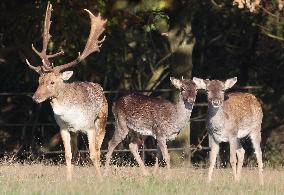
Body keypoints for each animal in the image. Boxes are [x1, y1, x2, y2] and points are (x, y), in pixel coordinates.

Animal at [25, 2, 107, 180]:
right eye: (39, 81)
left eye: (52, 82)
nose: (35, 98)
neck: (70, 115)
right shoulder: (63, 127)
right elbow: (68, 155)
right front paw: (69, 180)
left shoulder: (89, 126)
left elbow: (93, 154)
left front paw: (100, 180)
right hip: (76, 132)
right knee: (75, 153)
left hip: (102, 119)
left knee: (99, 149)